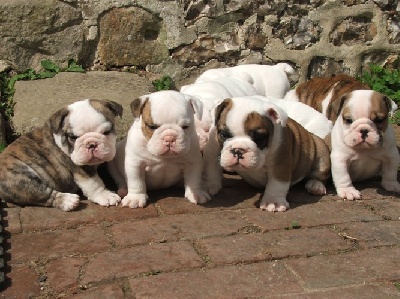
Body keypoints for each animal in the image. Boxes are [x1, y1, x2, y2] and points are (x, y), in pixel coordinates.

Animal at [203, 97, 332, 212]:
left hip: (321, 152)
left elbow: (277, 184)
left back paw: (316, 185)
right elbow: (212, 169)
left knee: (319, 175)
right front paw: (210, 186)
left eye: (259, 137)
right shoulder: (212, 150)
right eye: (223, 134)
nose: (238, 150)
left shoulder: (280, 164)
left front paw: (273, 202)